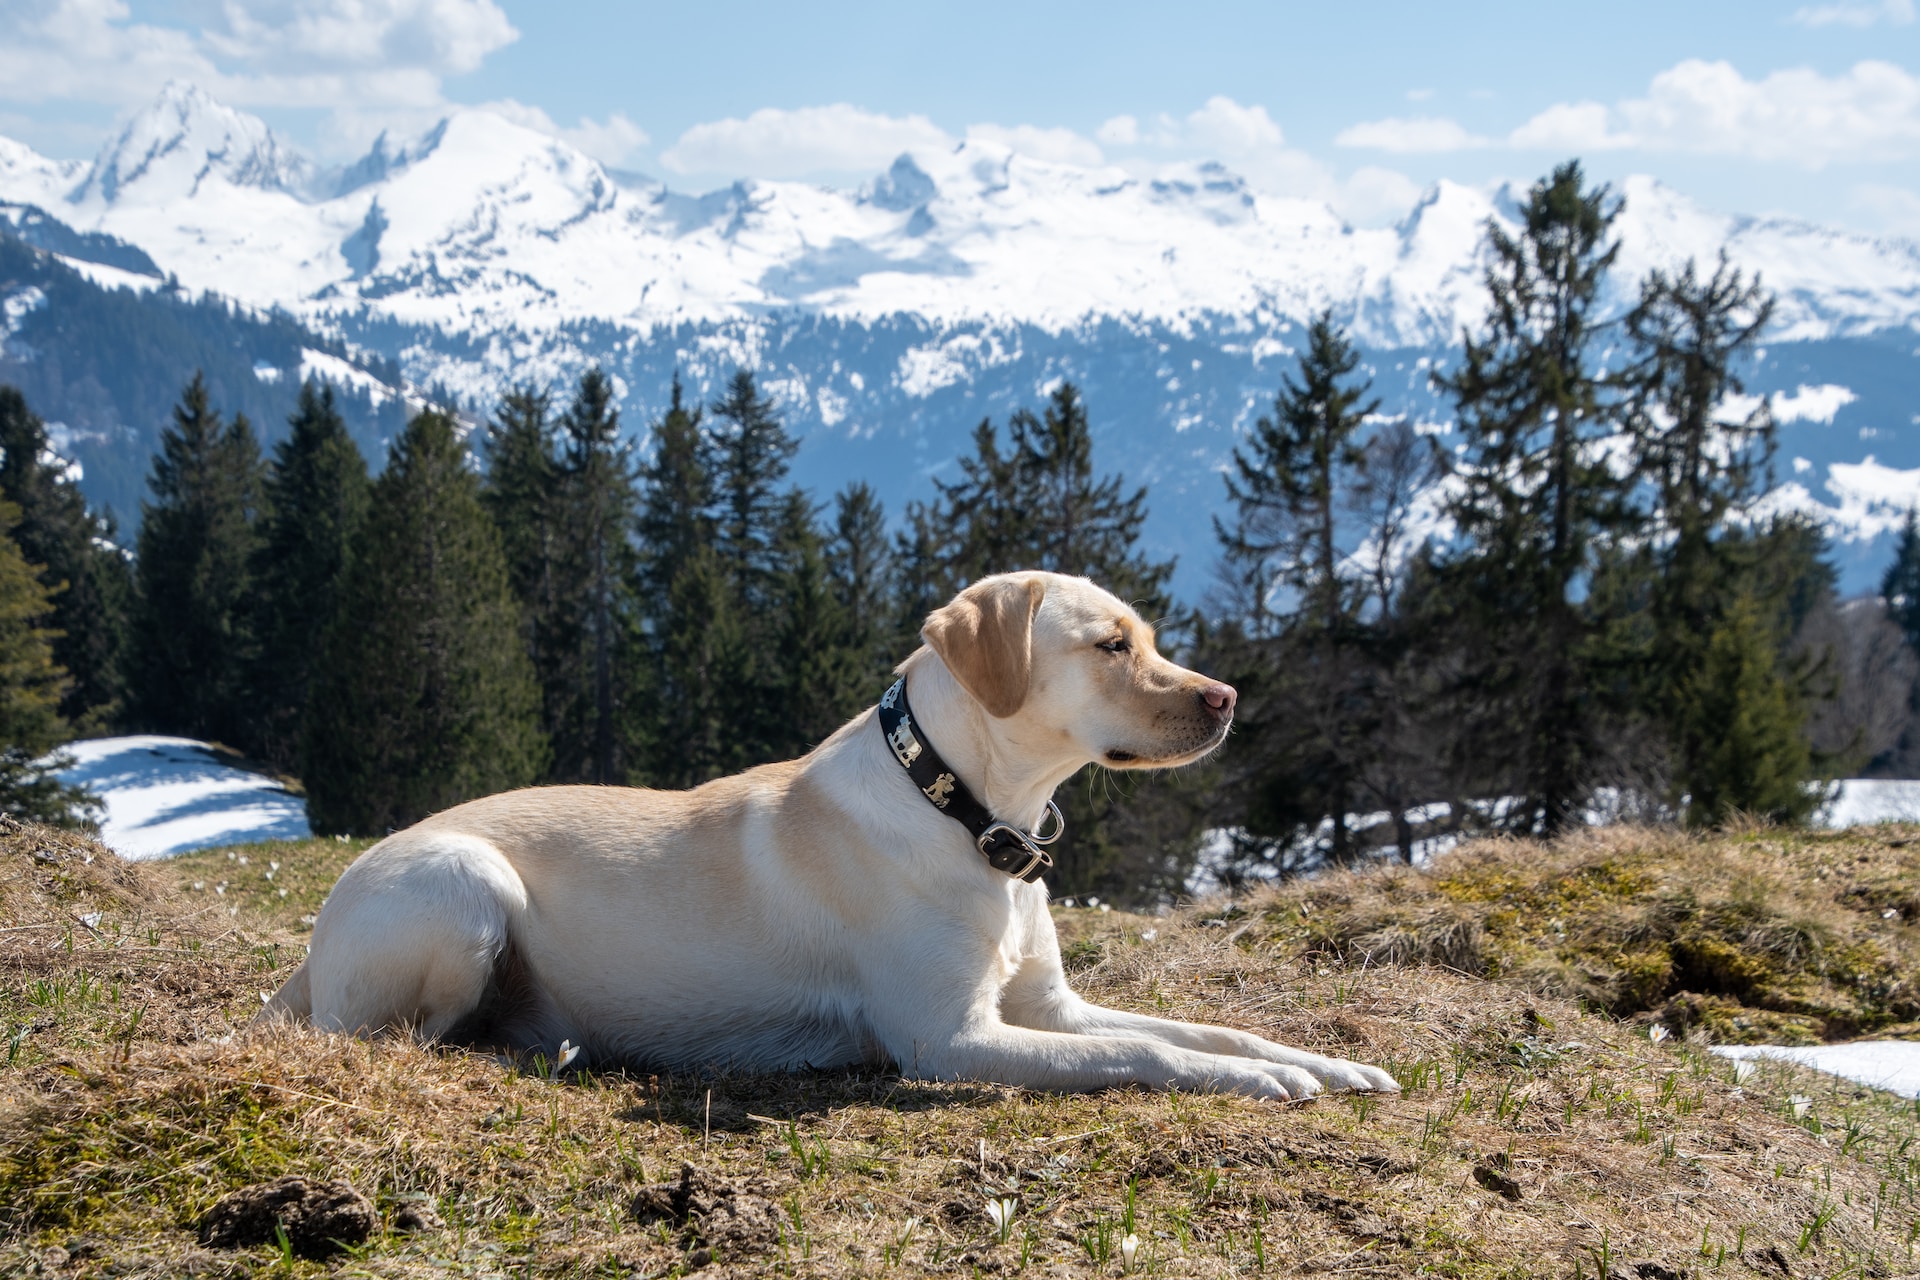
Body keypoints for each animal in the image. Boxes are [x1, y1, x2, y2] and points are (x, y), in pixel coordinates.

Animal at [259, 571, 1397, 1105]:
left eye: (1150, 637)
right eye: (1112, 645)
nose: (1228, 698)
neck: (967, 811)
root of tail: (311, 943)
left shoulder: (1047, 1007)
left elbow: (1209, 1028)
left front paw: (1321, 1063)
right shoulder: (951, 1041)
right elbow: (1146, 1049)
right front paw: (1259, 1084)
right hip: (463, 885)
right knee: (393, 1035)